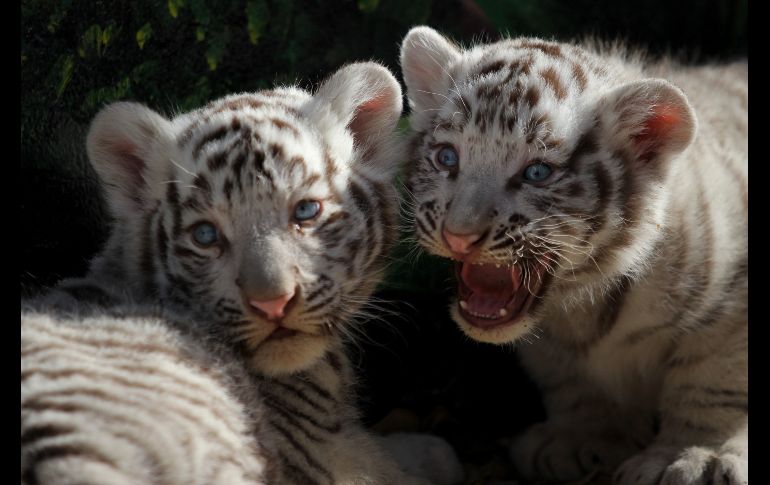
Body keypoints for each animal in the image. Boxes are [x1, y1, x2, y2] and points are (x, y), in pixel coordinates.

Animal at [399, 26, 747, 485]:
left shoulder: (729, 309)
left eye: (537, 172)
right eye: (446, 157)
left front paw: (692, 457)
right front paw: (582, 440)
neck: (586, 301)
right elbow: (571, 382)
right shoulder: (555, 348)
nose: (458, 236)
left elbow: (712, 381)